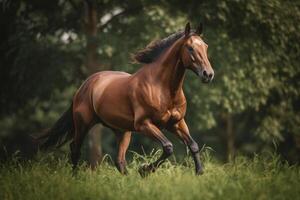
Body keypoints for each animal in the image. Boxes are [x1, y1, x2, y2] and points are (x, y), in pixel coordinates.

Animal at [38, 21, 214, 175]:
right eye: (190, 48)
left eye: (205, 46)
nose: (208, 74)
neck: (163, 89)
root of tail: (84, 86)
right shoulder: (144, 124)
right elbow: (168, 147)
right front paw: (144, 170)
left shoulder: (176, 123)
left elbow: (193, 145)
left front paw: (199, 172)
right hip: (83, 124)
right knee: (75, 149)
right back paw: (76, 178)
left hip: (122, 131)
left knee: (119, 160)